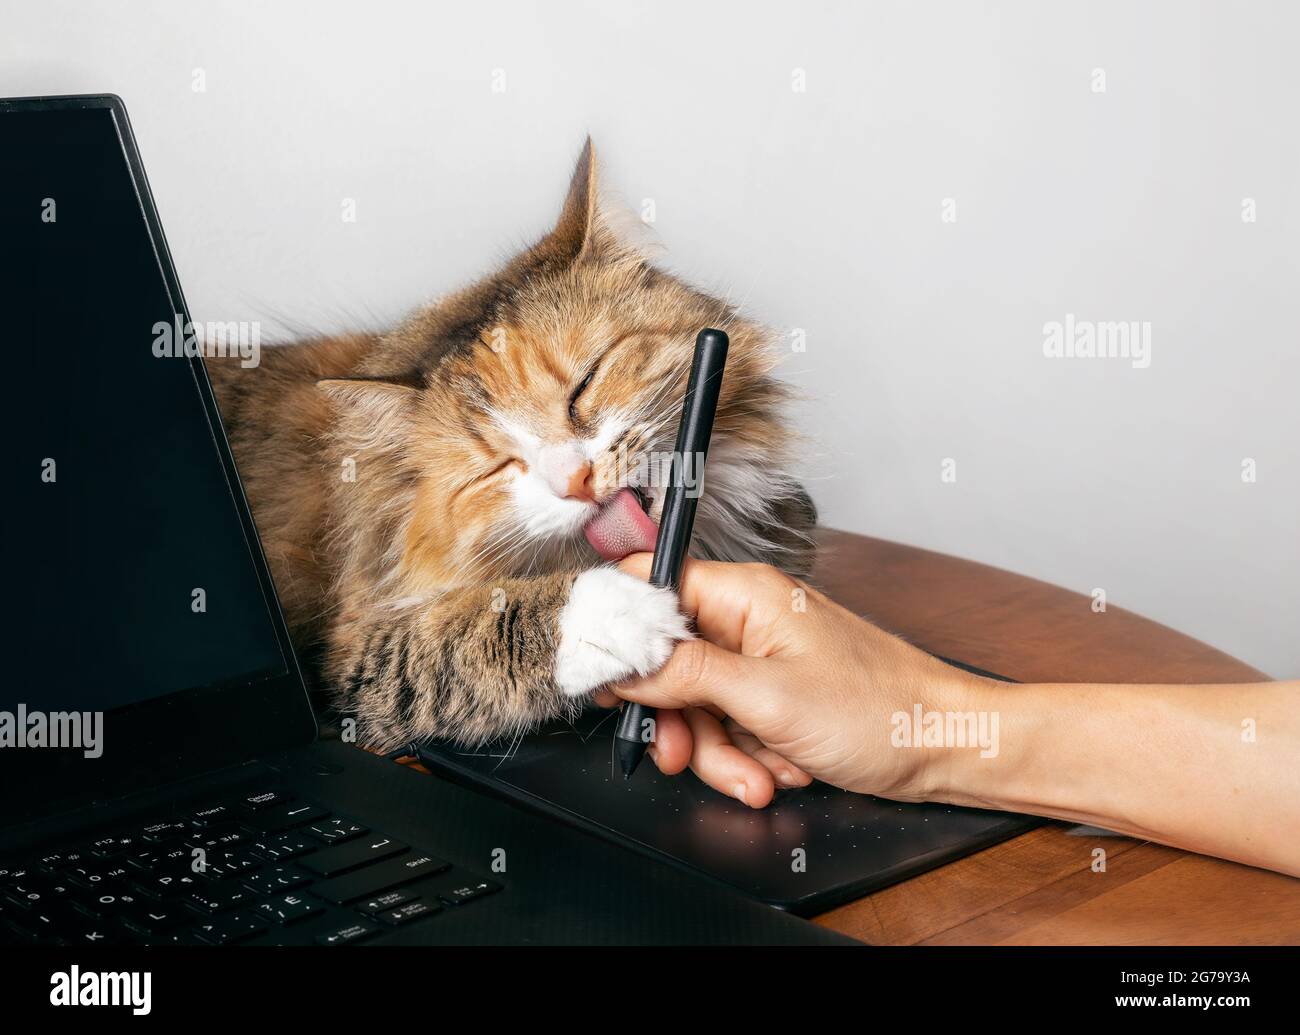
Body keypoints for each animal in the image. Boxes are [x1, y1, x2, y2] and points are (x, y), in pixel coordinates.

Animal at [210, 139, 821, 754]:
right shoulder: (358, 649)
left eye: (584, 386)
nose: (576, 480)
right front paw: (616, 615)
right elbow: (469, 632)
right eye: (498, 468)